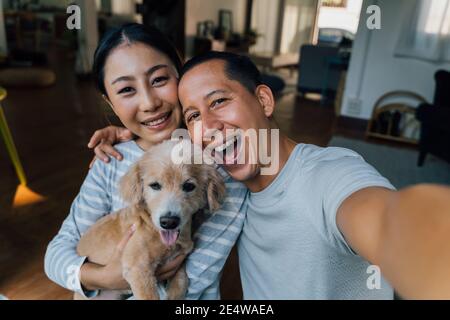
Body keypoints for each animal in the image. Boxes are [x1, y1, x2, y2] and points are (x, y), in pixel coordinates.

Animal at [77, 140, 227, 300]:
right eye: (155, 185)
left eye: (189, 186)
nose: (169, 222)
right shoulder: (137, 268)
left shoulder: (178, 261)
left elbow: (181, 282)